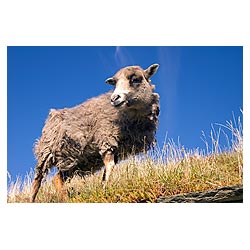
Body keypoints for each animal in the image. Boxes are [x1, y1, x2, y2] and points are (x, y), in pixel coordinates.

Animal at [30, 63, 160, 202]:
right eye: (114, 84)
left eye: (135, 79)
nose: (114, 98)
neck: (132, 116)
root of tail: (52, 114)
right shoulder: (106, 139)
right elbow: (110, 166)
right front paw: (106, 189)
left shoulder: (117, 149)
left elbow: (107, 170)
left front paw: (103, 185)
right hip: (46, 152)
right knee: (37, 181)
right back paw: (31, 199)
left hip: (71, 159)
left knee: (57, 179)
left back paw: (66, 198)